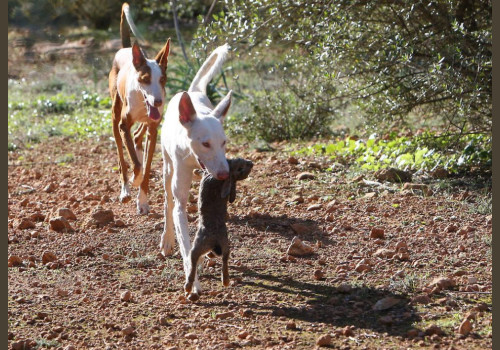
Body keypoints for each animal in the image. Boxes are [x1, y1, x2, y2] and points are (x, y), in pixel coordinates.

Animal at [107, 3, 170, 213]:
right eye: (145, 79)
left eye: (162, 80)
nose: (157, 101)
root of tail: (126, 48)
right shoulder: (124, 125)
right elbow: (135, 164)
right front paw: (135, 180)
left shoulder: (153, 130)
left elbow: (146, 166)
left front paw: (142, 201)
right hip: (115, 117)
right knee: (121, 154)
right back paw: (125, 190)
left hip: (144, 124)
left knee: (137, 138)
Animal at [160, 43, 232, 296]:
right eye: (205, 143)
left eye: (223, 142)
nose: (225, 174)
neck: (192, 157)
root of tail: (191, 91)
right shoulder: (180, 197)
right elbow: (185, 241)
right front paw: (194, 282)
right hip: (166, 168)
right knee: (168, 203)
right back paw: (167, 239)